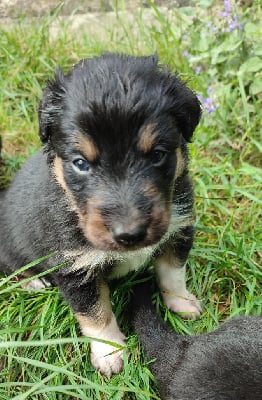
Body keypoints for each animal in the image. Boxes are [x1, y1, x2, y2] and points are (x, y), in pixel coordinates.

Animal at [0, 52, 203, 376]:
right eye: (81, 163)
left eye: (158, 154)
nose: (130, 235)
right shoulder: (74, 269)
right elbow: (96, 315)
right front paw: (110, 354)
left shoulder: (178, 229)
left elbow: (172, 273)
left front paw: (182, 303)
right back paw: (33, 281)